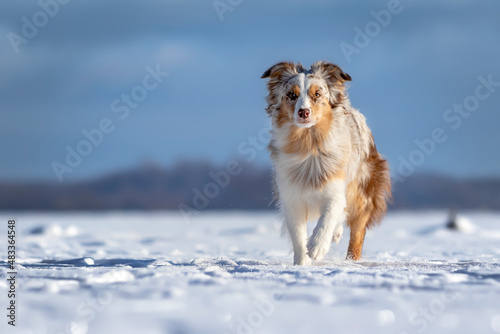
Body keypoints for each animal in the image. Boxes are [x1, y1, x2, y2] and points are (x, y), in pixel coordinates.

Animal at [262, 60, 390, 266]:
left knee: (357, 230)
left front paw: (317, 247)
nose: (304, 112)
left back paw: (351, 260)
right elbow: (298, 234)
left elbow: (329, 215)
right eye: (291, 95)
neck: (309, 143)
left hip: (361, 190)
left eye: (317, 94)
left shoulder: (336, 187)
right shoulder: (291, 195)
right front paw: (302, 263)